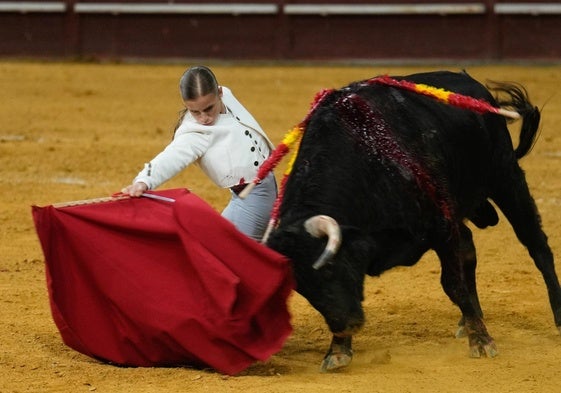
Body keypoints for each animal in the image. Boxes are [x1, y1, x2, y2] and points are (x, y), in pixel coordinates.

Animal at [264, 71, 560, 370]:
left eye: (328, 269)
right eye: (302, 288)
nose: (347, 325)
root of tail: (476, 87)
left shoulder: (441, 226)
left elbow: (453, 285)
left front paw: (481, 341)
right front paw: (337, 351)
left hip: (506, 177)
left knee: (537, 246)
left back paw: (555, 316)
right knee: (468, 247)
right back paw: (468, 319)